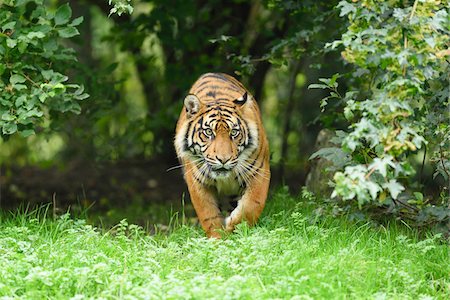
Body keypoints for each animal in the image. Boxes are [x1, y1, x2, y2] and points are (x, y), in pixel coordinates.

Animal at [174, 72, 268, 239]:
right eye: (208, 132)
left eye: (234, 132)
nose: (223, 159)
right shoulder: (197, 181)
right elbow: (208, 214)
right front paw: (217, 238)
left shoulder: (259, 172)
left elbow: (252, 204)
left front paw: (234, 227)